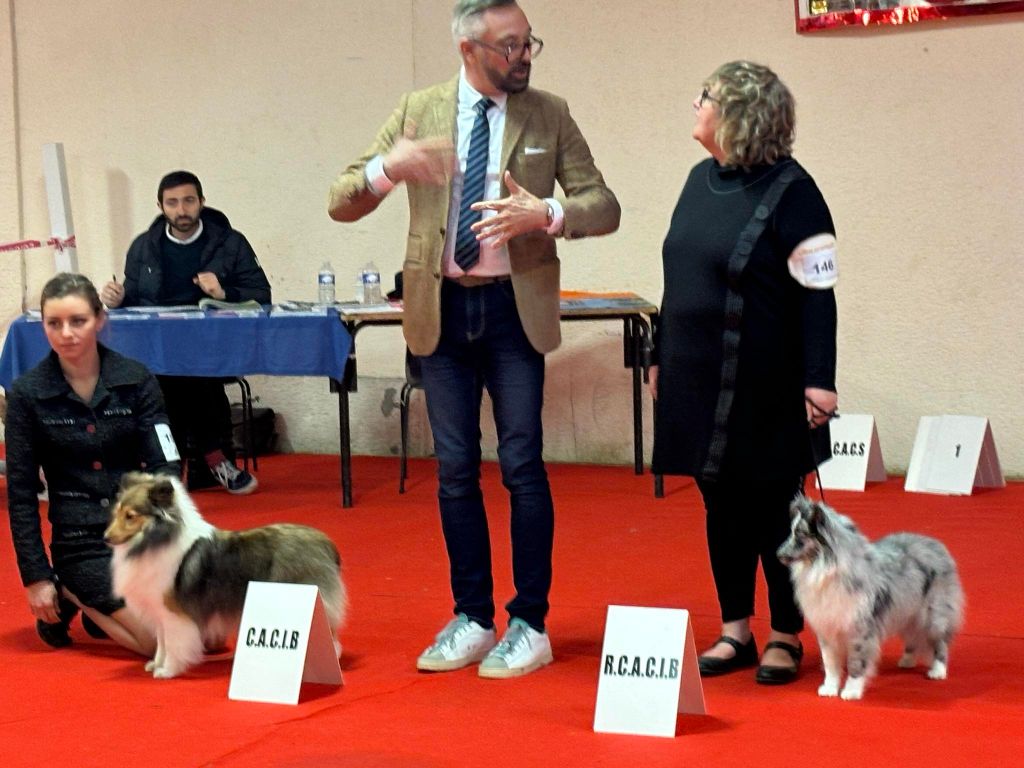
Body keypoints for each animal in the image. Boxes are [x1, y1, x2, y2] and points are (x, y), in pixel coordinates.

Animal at [104, 471, 346, 679]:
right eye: (116, 513)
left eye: (130, 516)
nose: (105, 537)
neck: (154, 541)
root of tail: (325, 542)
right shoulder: (159, 612)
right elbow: (162, 643)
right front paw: (157, 664)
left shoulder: (174, 614)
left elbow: (173, 644)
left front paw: (168, 671)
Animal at [777, 496, 963, 700]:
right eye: (791, 532)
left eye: (800, 534)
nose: (778, 554)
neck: (825, 569)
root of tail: (936, 544)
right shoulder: (827, 628)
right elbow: (830, 663)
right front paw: (829, 689)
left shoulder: (860, 630)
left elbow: (856, 663)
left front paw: (850, 691)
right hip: (907, 612)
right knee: (913, 637)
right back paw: (907, 661)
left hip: (933, 615)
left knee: (940, 641)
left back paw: (938, 671)